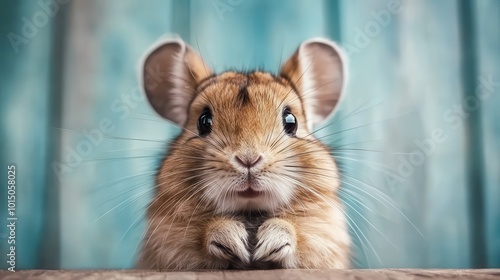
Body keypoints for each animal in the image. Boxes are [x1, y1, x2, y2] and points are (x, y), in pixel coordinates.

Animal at [135, 36, 350, 270]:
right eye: (203, 121)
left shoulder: (324, 233)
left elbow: (298, 232)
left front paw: (269, 242)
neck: (250, 210)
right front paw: (232, 240)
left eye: (291, 121)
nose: (248, 159)